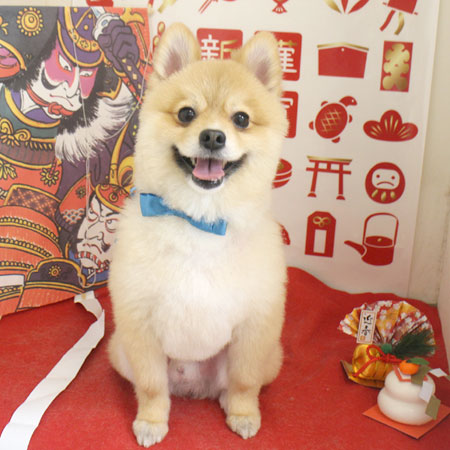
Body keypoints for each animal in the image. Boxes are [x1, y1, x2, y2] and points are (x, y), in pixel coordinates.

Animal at [108, 23, 288, 447]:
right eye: (186, 114)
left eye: (241, 119)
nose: (212, 137)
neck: (200, 221)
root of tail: (193, 385)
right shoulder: (139, 325)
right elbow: (151, 386)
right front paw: (152, 421)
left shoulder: (256, 327)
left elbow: (244, 382)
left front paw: (243, 414)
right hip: (119, 351)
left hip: (270, 357)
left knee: (233, 382)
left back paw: (226, 401)